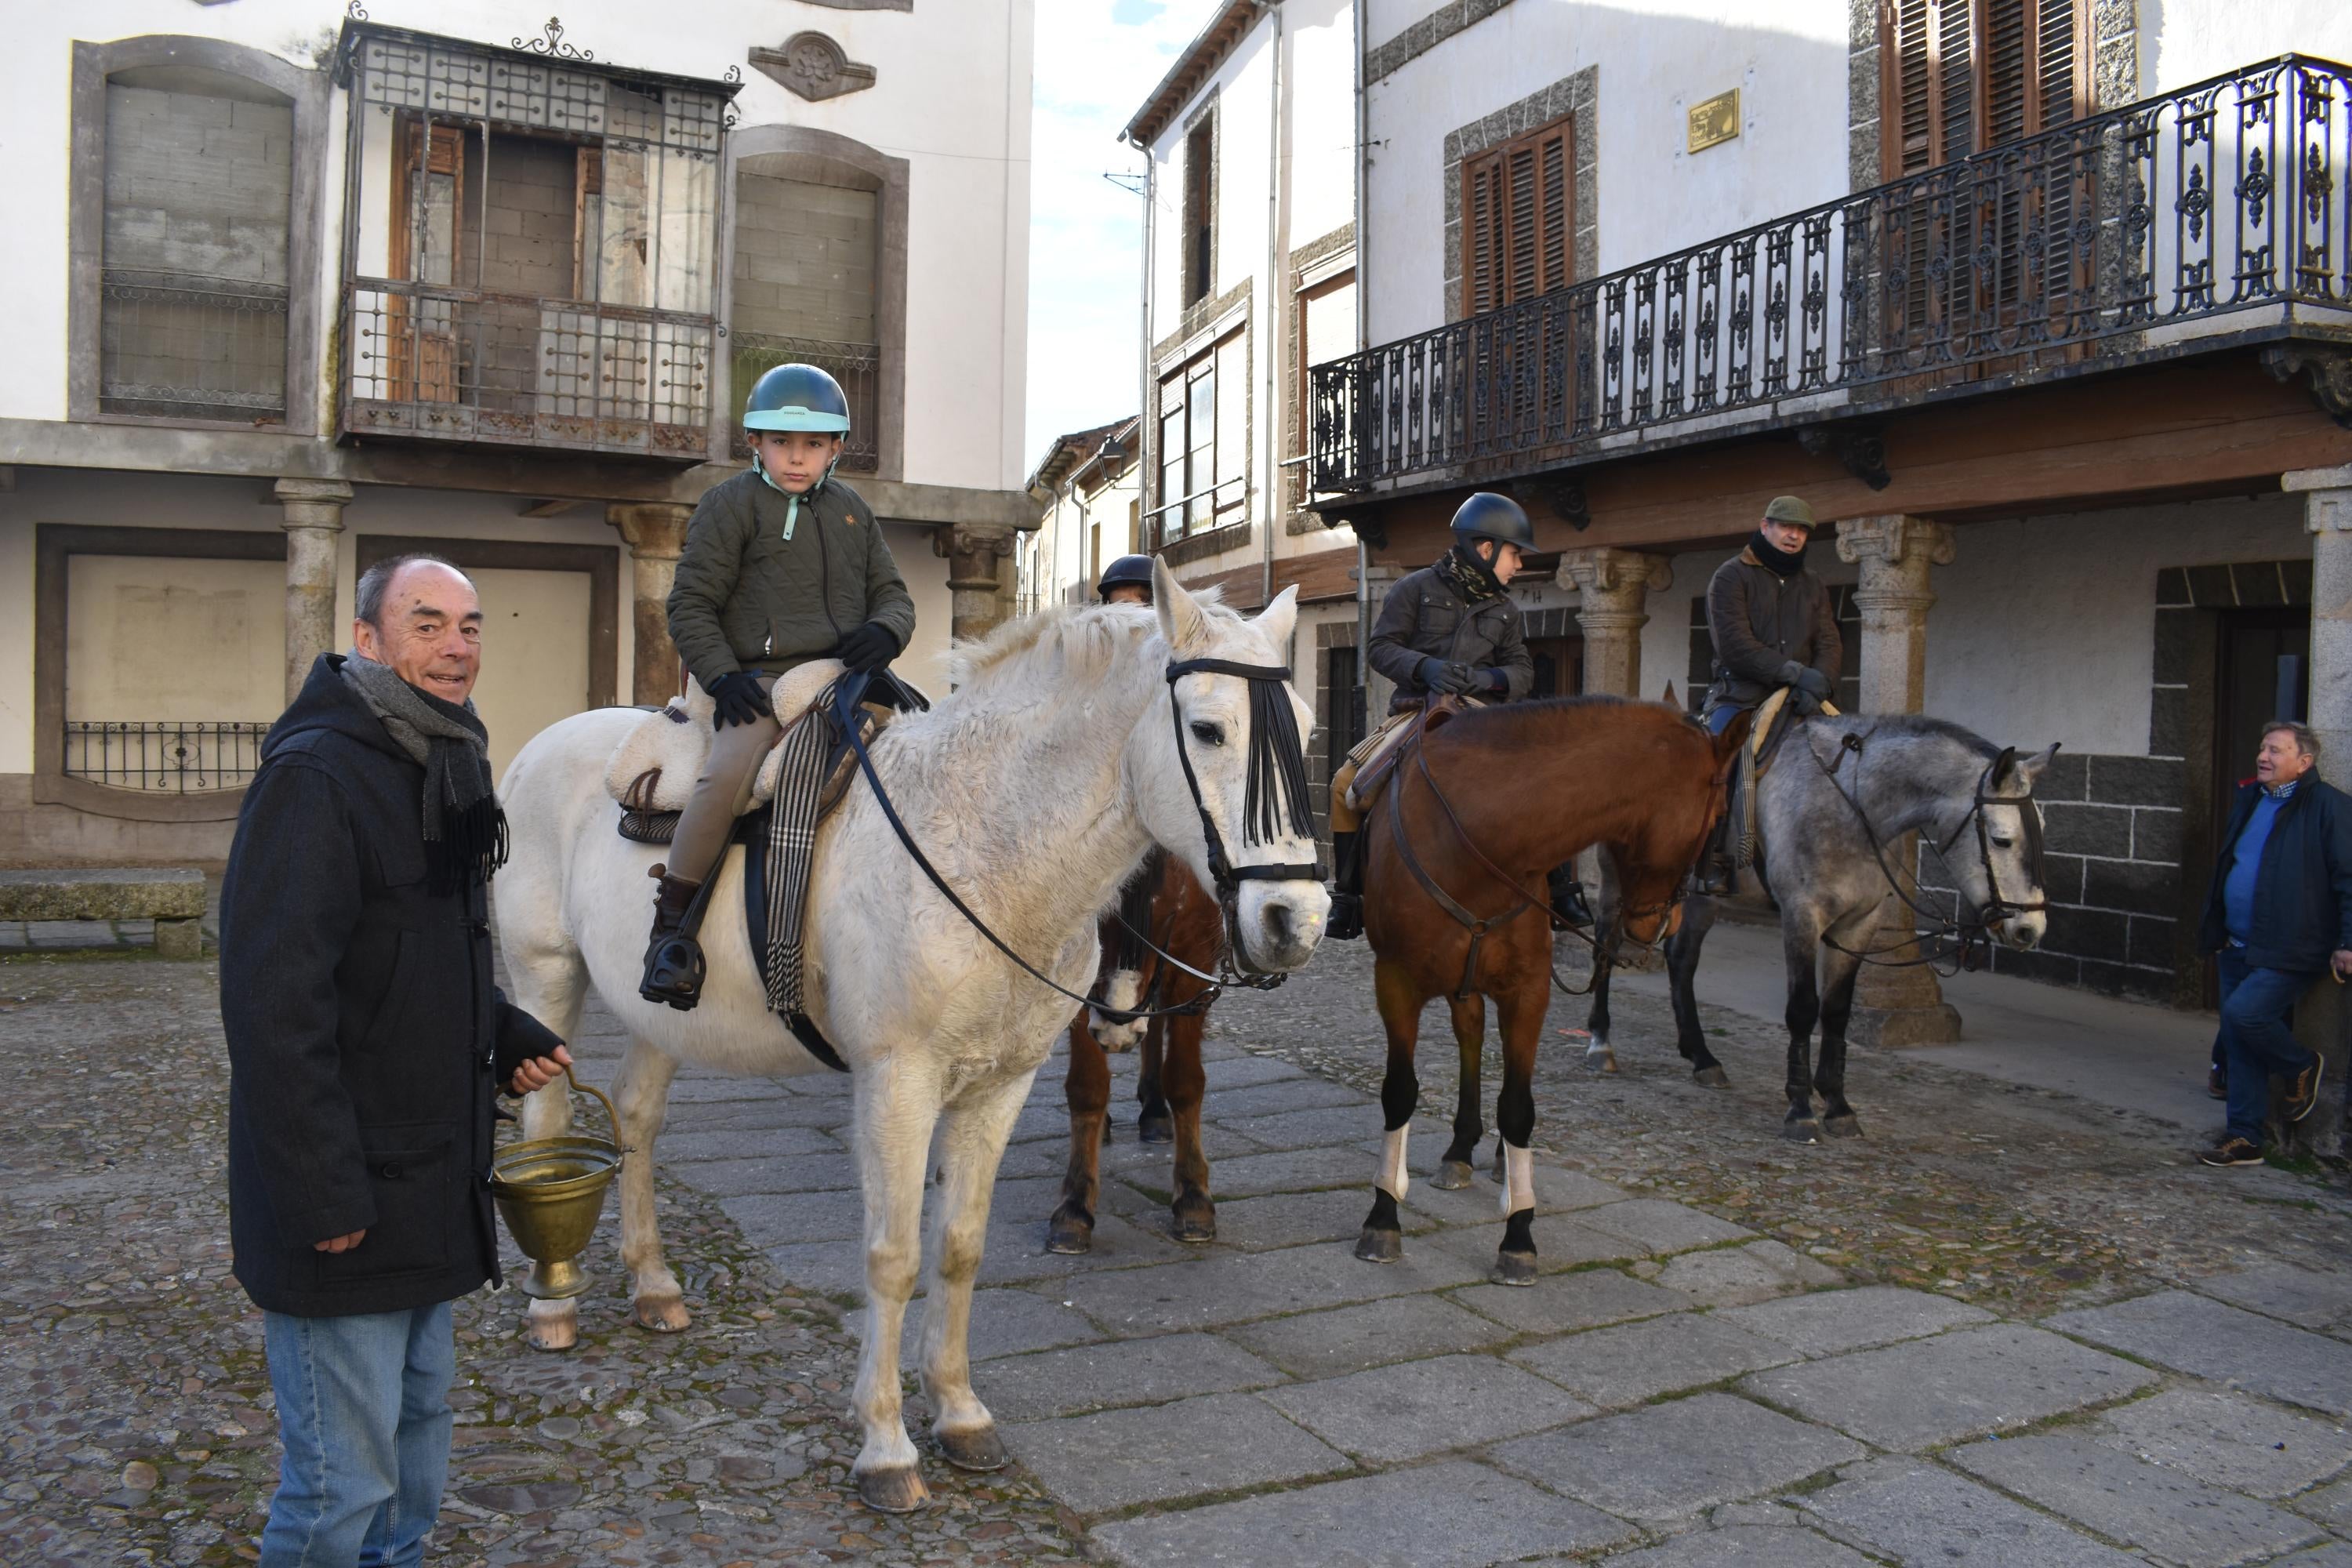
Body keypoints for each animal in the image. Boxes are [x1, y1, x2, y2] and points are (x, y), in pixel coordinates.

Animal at [1054, 846, 1232, 1250]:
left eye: (1166, 913)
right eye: (1097, 920)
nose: (1116, 1025)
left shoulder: (1195, 960)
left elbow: (1185, 1081)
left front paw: (1193, 1197)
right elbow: (1087, 1087)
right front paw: (1075, 1204)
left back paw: (1154, 1108)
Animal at [1355, 700, 1759, 1288]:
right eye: (1720, 812)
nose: (1665, 924)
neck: (1477, 838)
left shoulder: (1528, 992)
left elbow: (1519, 1107)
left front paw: (1519, 1233)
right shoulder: (1397, 984)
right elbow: (1399, 1093)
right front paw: (1384, 1215)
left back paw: (1494, 1158)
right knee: (1469, 1035)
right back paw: (1459, 1150)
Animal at [1581, 714, 2060, 1142]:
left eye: (2043, 831)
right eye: (2001, 840)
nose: (2029, 929)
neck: (1851, 807)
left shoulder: (1858, 924)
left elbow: (1836, 1011)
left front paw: (1837, 1104)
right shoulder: (1802, 916)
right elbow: (1802, 1009)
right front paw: (1800, 1109)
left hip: (1701, 896)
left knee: (1681, 961)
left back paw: (1702, 1058)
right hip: (1619, 882)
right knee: (1605, 947)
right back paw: (1601, 1043)